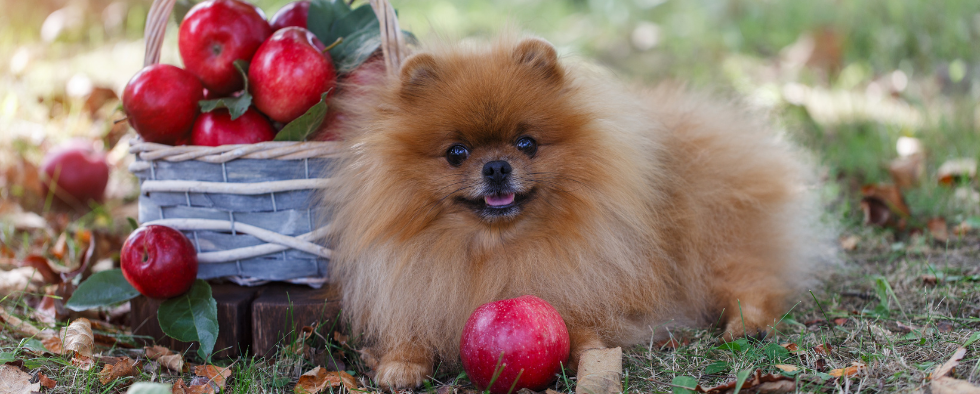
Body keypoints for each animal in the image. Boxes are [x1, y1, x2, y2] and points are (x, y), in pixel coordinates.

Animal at [322, 32, 828, 390]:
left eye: (526, 143)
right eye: (456, 153)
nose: (497, 166)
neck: (497, 249)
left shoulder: (590, 281)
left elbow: (588, 328)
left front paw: (588, 355)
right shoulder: (415, 288)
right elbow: (408, 332)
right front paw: (401, 364)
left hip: (713, 241)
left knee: (753, 282)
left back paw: (747, 324)